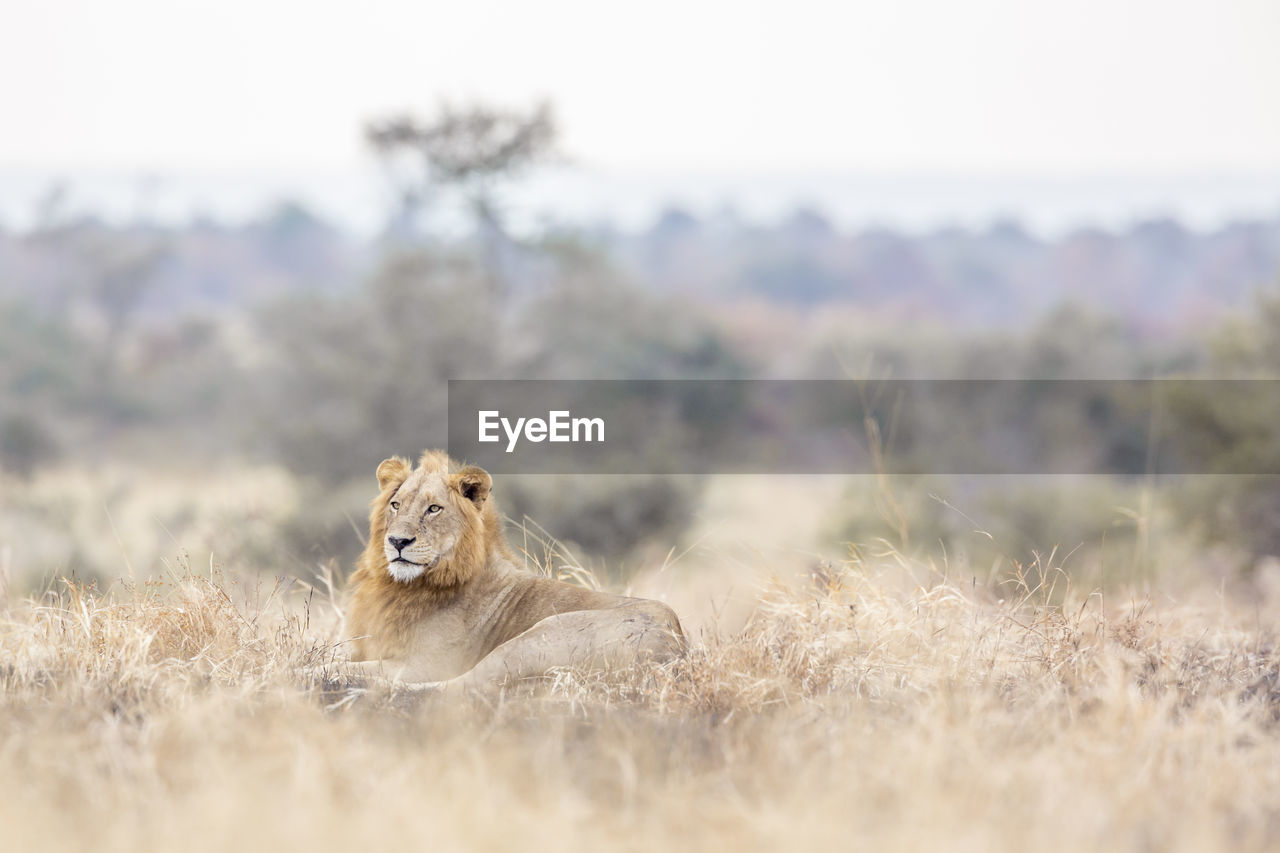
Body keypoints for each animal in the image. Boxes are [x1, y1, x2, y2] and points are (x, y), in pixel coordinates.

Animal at [337, 448, 680, 686]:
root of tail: (677, 645)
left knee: (458, 686)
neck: (403, 587)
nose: (397, 541)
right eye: (396, 505)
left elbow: (343, 664)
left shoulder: (426, 664)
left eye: (434, 509)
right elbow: (336, 654)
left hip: (533, 638)